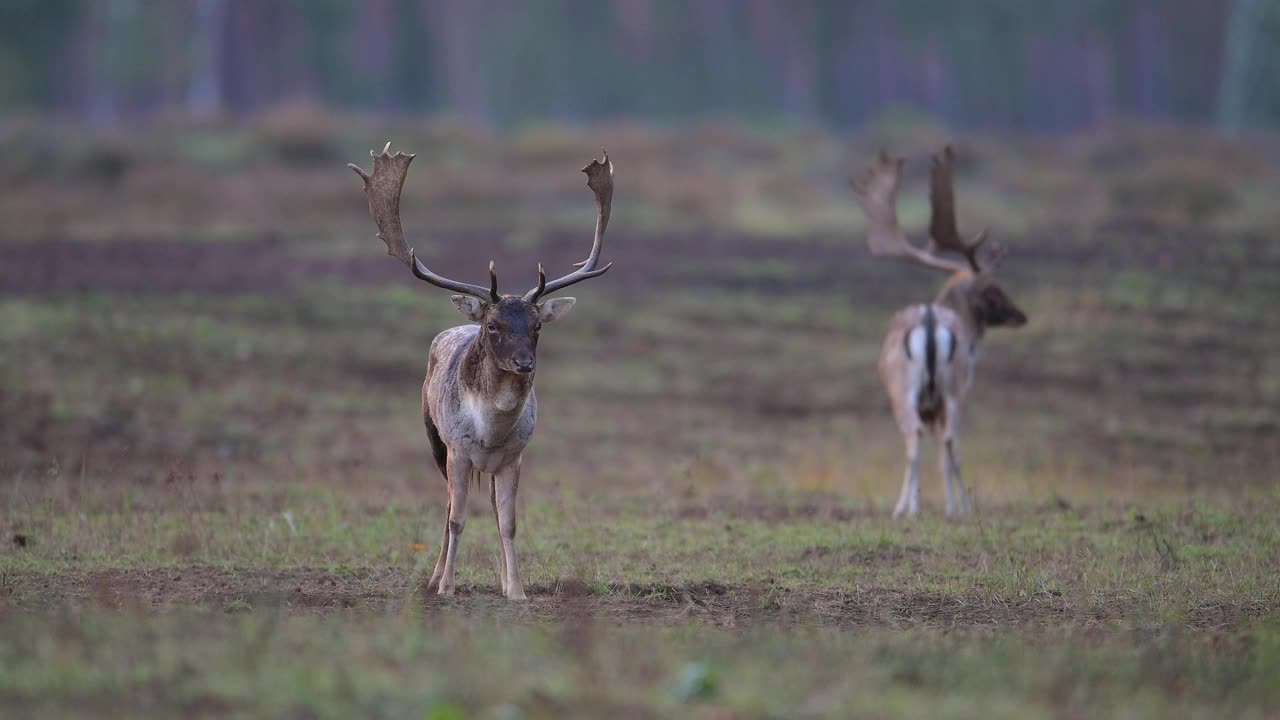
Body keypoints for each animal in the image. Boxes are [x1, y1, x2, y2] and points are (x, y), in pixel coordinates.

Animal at [348, 142, 611, 597]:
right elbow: (456, 519)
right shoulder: (457, 451)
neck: (491, 433)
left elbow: (508, 523)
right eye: (494, 326)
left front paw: (517, 591)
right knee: (446, 506)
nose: (525, 363)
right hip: (433, 437)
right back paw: (434, 577)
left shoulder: (514, 457)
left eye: (537, 326)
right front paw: (447, 587)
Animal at [849, 146, 1029, 515]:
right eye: (994, 290)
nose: (1021, 316)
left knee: (917, 438)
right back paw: (942, 508)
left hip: (909, 392)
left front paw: (909, 505)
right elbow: (946, 451)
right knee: (945, 441)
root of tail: (930, 321)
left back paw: (913, 508)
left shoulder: (927, 403)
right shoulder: (952, 393)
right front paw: (954, 506)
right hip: (947, 389)